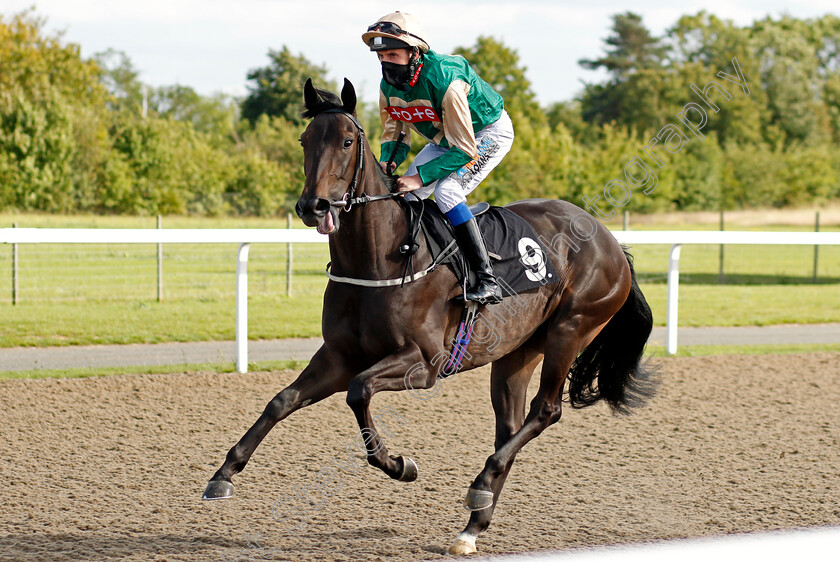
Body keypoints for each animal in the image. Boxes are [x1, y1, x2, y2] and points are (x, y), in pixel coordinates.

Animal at [203, 77, 656, 552]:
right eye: (305, 140)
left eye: (347, 141)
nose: (314, 206)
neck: (381, 256)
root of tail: (611, 242)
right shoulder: (338, 357)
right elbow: (282, 401)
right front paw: (223, 474)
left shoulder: (423, 364)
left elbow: (359, 392)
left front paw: (399, 464)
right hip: (518, 351)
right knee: (510, 424)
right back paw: (473, 524)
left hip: (571, 329)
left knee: (547, 410)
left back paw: (480, 484)